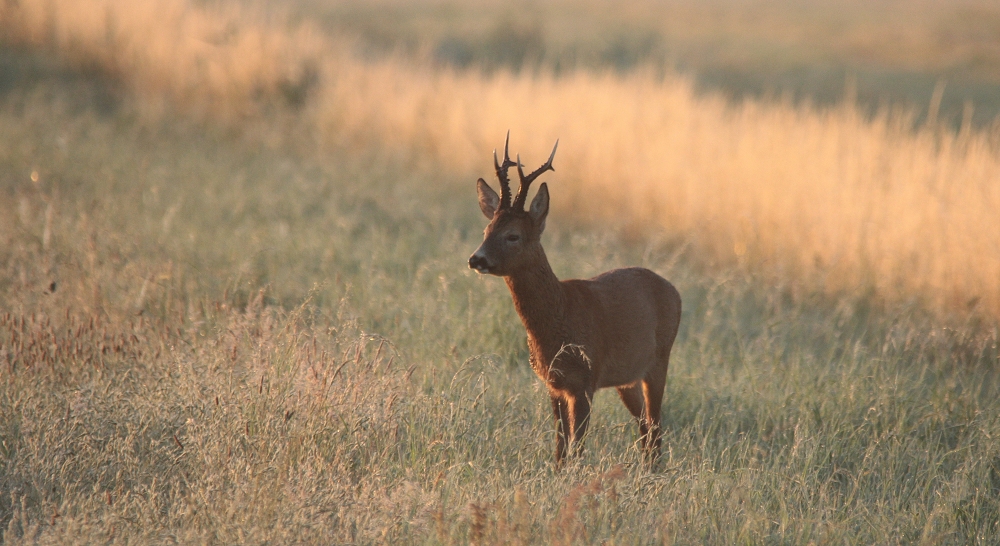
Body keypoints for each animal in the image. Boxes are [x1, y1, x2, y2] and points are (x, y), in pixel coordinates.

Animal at [472, 134, 684, 466]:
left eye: (513, 235)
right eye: (486, 230)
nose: (476, 259)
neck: (560, 317)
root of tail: (674, 291)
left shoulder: (586, 378)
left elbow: (577, 447)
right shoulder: (555, 384)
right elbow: (561, 448)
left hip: (659, 359)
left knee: (656, 425)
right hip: (628, 378)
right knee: (645, 427)